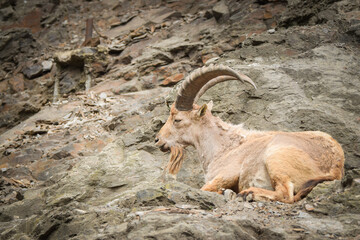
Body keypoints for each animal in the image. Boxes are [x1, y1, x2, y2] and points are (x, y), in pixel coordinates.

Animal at [155, 64, 346, 203]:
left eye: (177, 119)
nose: (157, 140)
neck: (224, 147)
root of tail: (335, 165)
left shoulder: (225, 174)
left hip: (275, 157)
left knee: (285, 194)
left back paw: (248, 194)